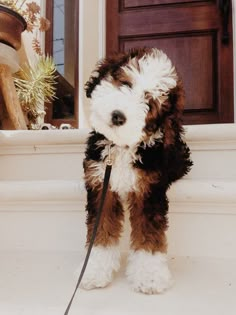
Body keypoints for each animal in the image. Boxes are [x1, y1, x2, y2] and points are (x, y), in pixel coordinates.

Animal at [78, 48, 193, 296]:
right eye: (125, 84)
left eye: (149, 104)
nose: (118, 116)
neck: (121, 148)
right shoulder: (101, 185)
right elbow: (100, 231)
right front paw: (93, 271)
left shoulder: (149, 191)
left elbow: (149, 235)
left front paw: (150, 277)